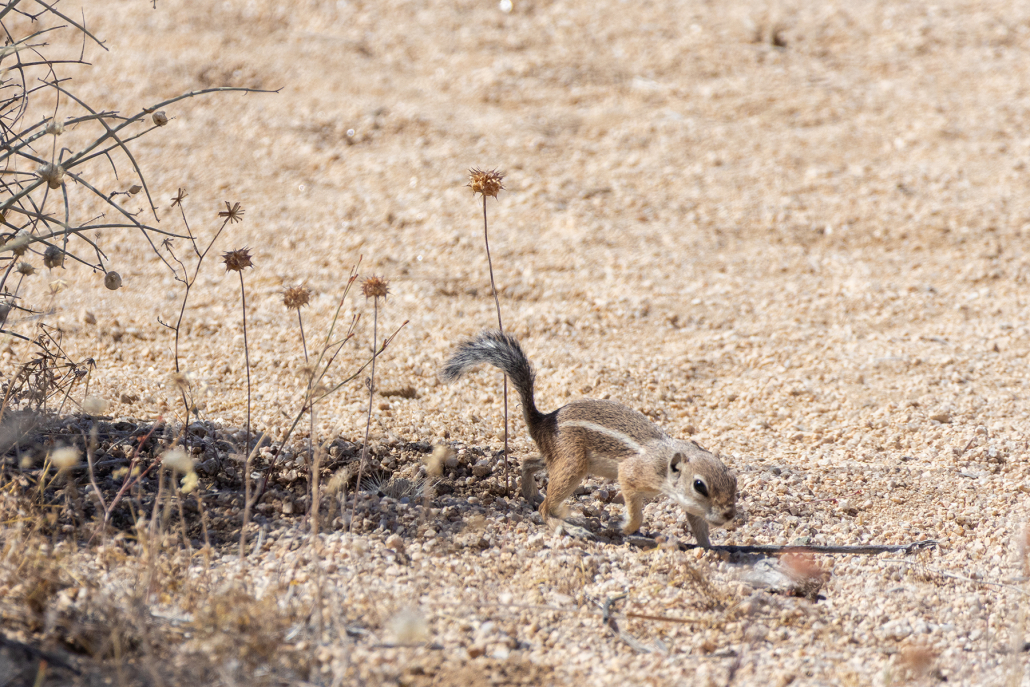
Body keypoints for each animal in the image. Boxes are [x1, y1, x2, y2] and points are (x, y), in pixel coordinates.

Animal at [440, 330, 737, 547]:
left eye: (734, 481)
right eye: (700, 486)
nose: (730, 515)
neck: (666, 462)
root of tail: (544, 420)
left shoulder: (690, 505)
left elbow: (698, 524)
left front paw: (711, 549)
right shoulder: (632, 474)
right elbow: (636, 512)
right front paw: (622, 526)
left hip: (559, 459)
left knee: (528, 462)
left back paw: (532, 494)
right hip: (573, 465)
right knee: (545, 508)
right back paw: (566, 526)